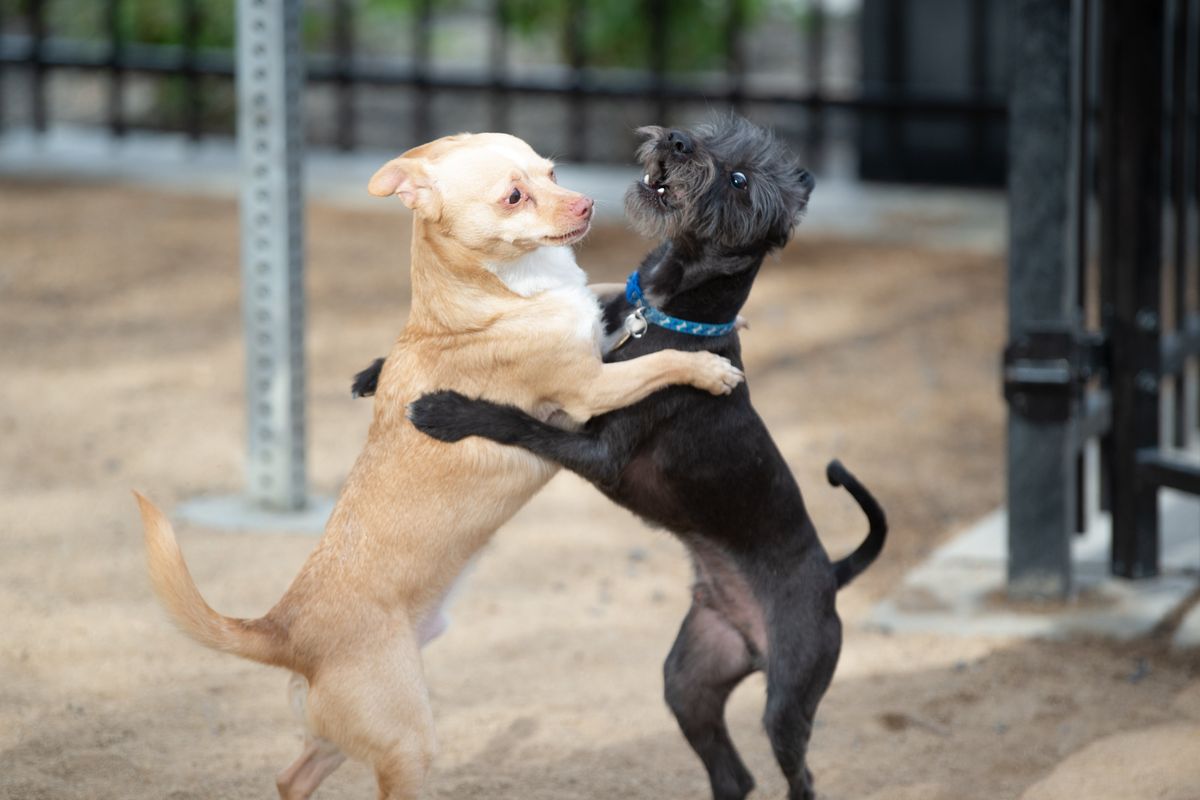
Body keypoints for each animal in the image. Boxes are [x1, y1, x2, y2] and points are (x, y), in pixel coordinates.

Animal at [136, 133, 744, 800]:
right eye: (513, 196)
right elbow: (656, 363)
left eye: (552, 174)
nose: (587, 205)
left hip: (339, 735)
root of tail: (284, 632)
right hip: (406, 740)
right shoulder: (591, 389)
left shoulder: (598, 333)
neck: (491, 298)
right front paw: (707, 367)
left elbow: (614, 296)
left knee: (291, 777)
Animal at [355, 113, 883, 800]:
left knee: (800, 775)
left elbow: (519, 422)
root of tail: (832, 574)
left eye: (740, 179)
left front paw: (447, 410)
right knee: (734, 774)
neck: (663, 313)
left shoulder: (595, 448)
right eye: (716, 133)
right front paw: (374, 372)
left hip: (790, 697)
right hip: (691, 679)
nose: (679, 142)